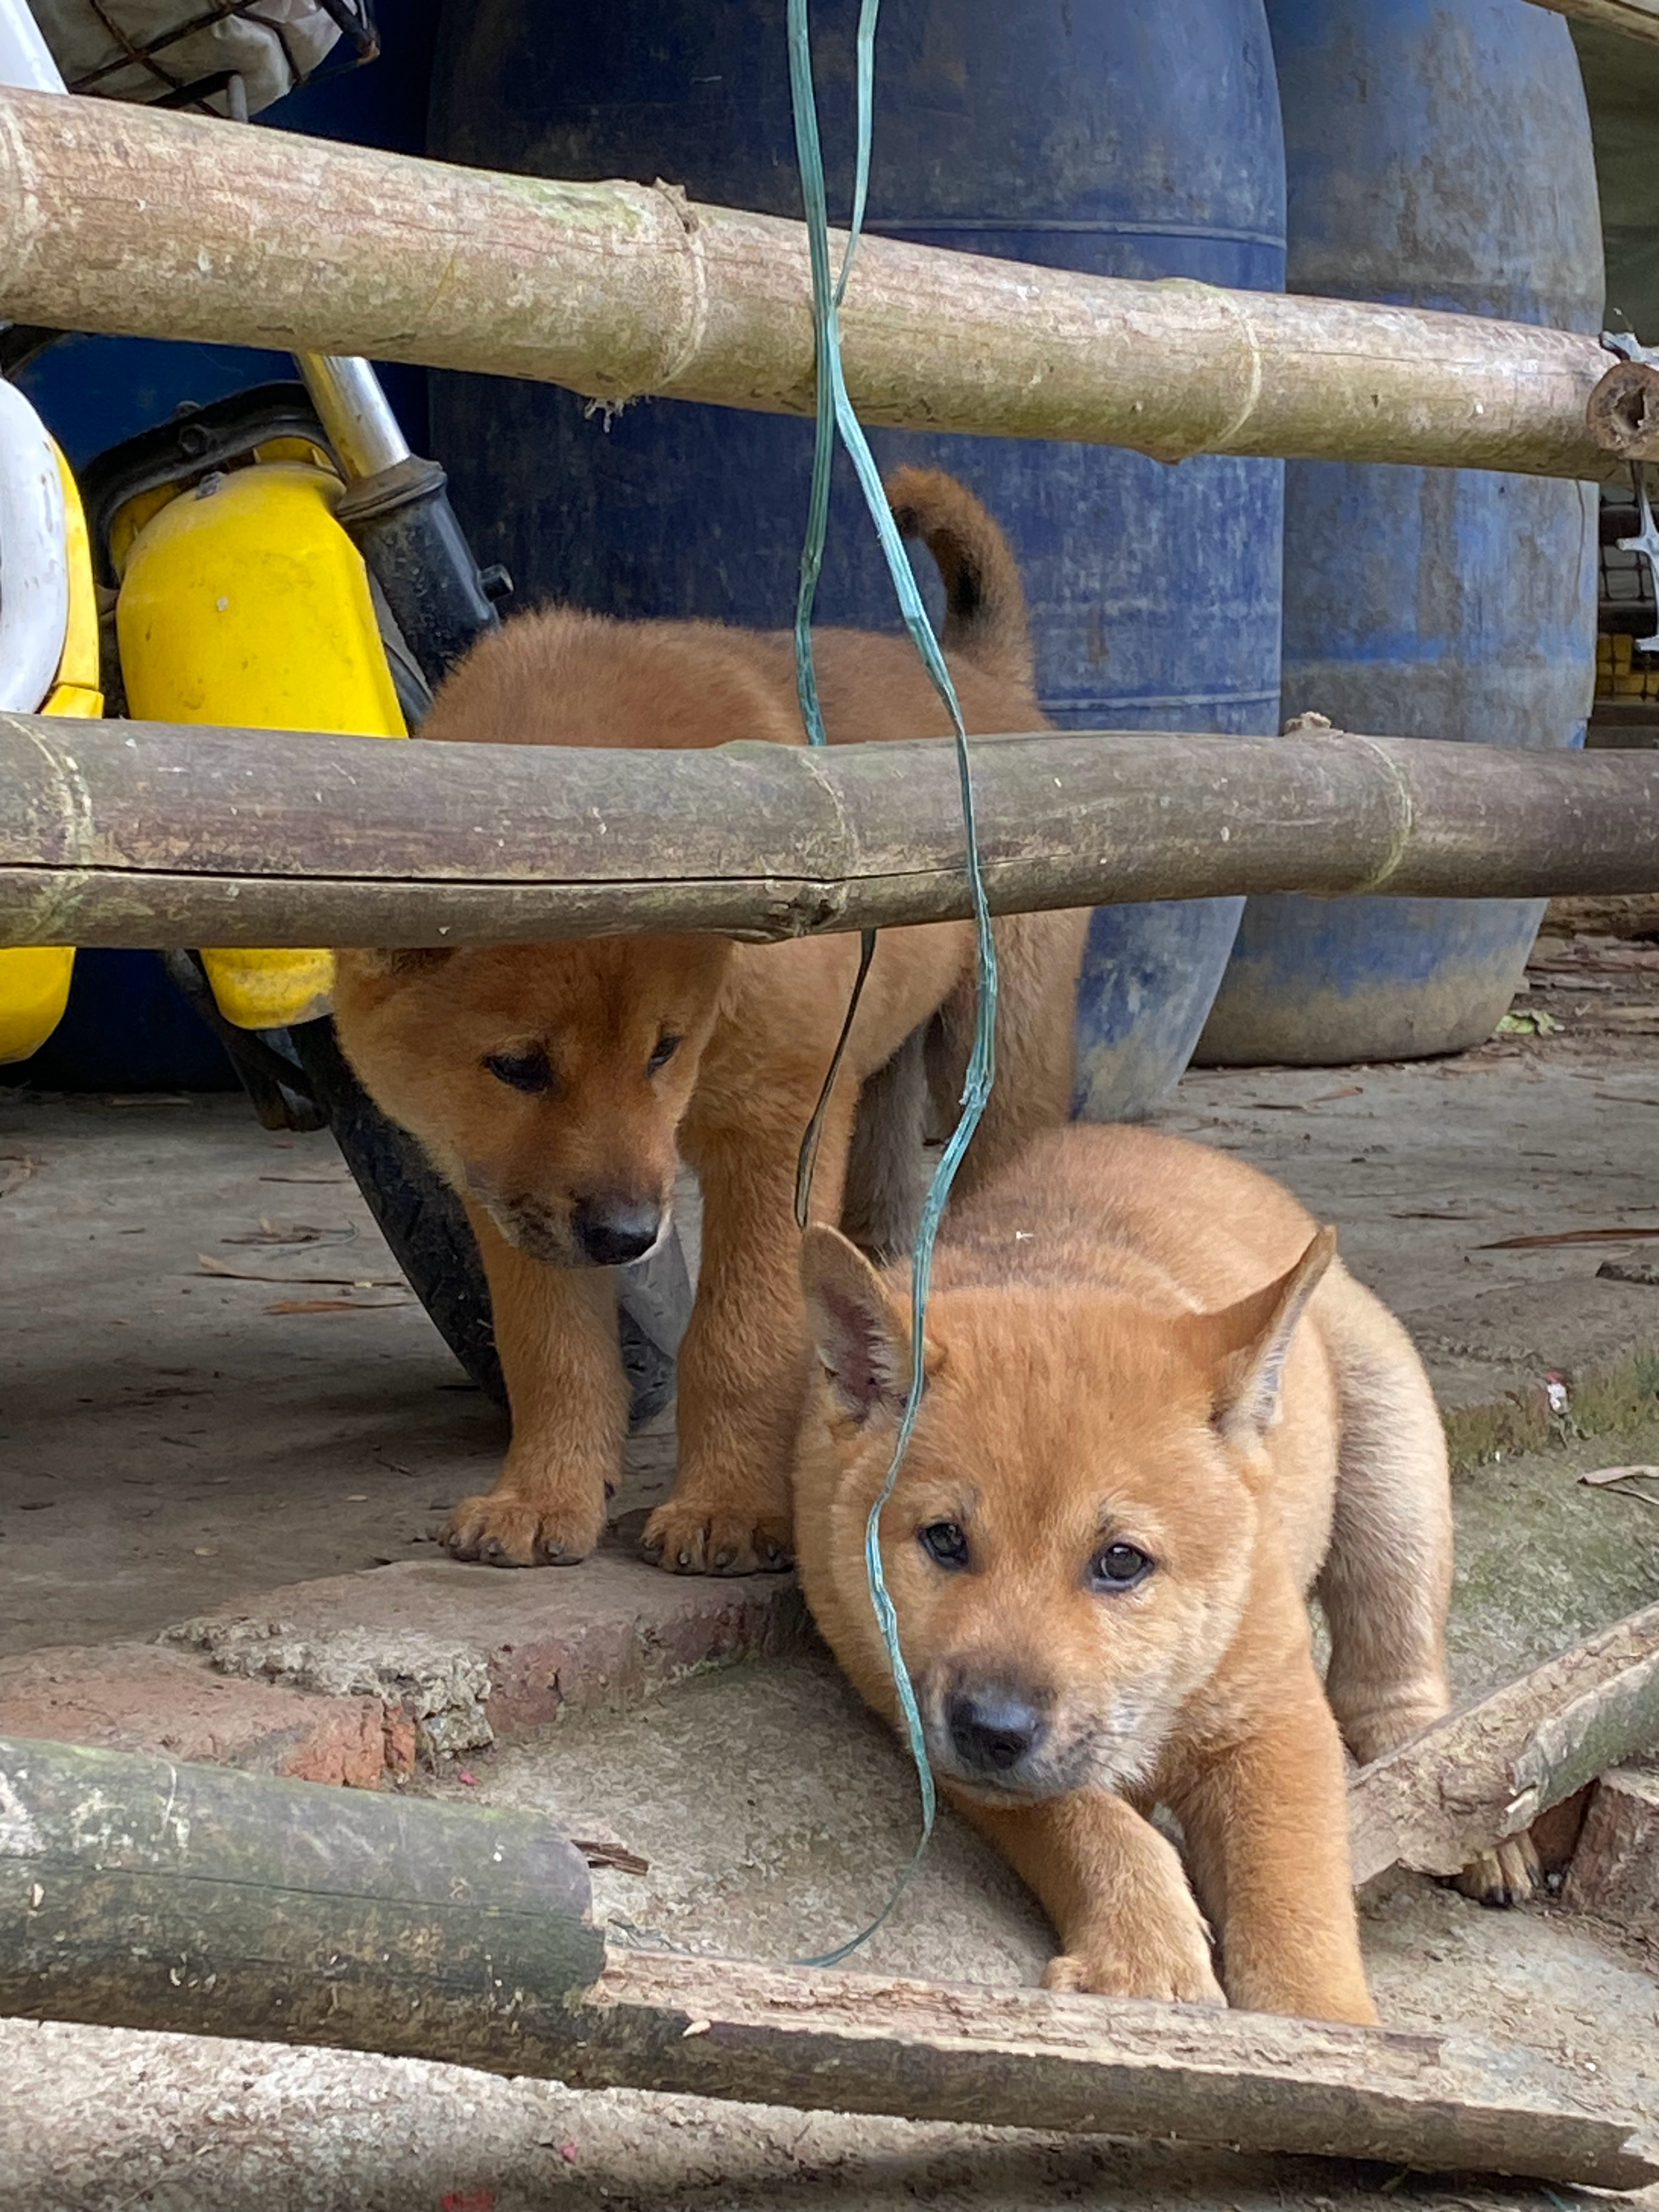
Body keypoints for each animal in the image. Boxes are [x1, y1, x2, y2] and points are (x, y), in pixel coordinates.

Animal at [336, 466, 1092, 1575]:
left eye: (664, 1050)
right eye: (517, 1067)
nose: (627, 1237)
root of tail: (979, 675)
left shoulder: (775, 1131)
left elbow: (740, 1335)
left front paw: (730, 1505)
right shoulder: (501, 1184)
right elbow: (551, 1349)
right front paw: (543, 1494)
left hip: (996, 1060)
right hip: (879, 1077)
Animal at [800, 1132, 1460, 2026]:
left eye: (1121, 1561)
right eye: (944, 1541)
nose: (992, 1730)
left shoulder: (1275, 1712)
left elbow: (1293, 1895)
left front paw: (1325, 2028)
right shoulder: (921, 1718)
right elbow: (1088, 1822)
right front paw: (1149, 1955)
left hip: (1395, 1469)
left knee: (1392, 1673)